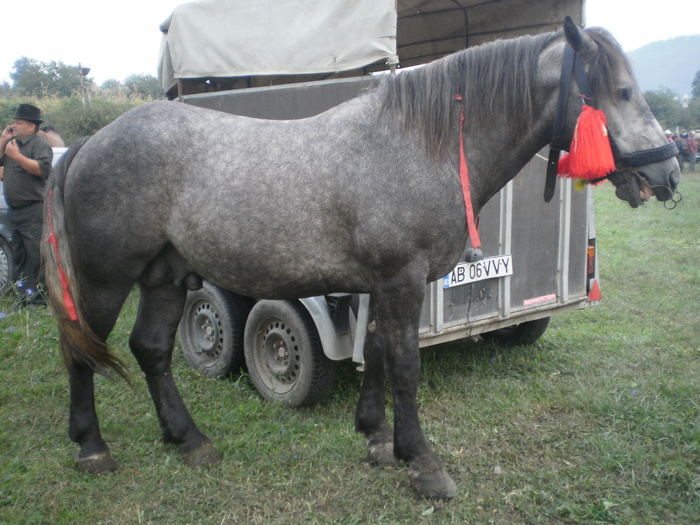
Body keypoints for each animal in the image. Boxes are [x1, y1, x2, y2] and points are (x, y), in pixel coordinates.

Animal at [42, 18, 680, 498]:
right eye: (622, 93)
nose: (669, 171)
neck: (419, 144)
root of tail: (84, 145)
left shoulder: (380, 283)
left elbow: (374, 349)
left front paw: (376, 438)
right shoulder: (403, 279)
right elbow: (404, 362)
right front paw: (422, 462)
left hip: (166, 276)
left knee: (150, 350)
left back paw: (190, 441)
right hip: (105, 280)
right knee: (82, 351)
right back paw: (93, 448)